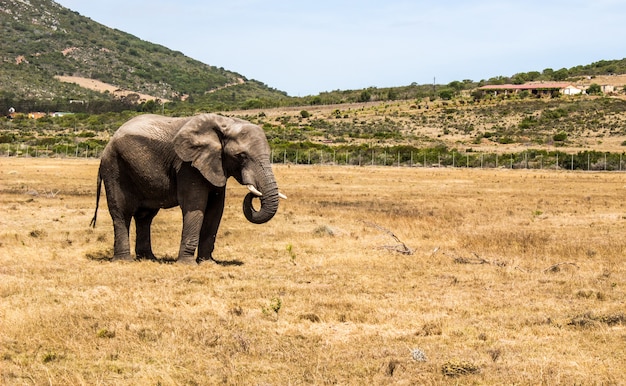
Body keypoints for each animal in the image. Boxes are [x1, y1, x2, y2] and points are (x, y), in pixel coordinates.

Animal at [89, 113, 286, 264]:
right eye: (241, 156)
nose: (254, 194)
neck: (225, 123)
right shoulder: (187, 165)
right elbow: (195, 206)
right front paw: (187, 264)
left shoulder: (214, 165)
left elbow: (216, 210)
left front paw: (207, 263)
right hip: (114, 168)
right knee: (122, 213)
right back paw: (124, 261)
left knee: (145, 216)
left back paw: (149, 259)